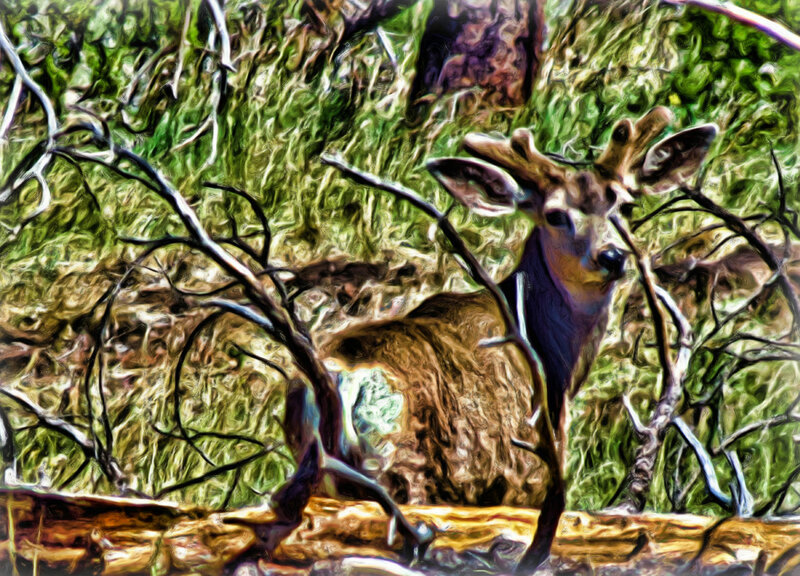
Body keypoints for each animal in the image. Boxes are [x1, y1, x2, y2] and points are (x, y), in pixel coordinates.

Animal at [290, 107, 718, 509]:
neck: (555, 361)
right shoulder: (527, 478)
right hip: (408, 468)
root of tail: (344, 380)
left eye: (626, 205)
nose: (611, 256)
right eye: (555, 215)